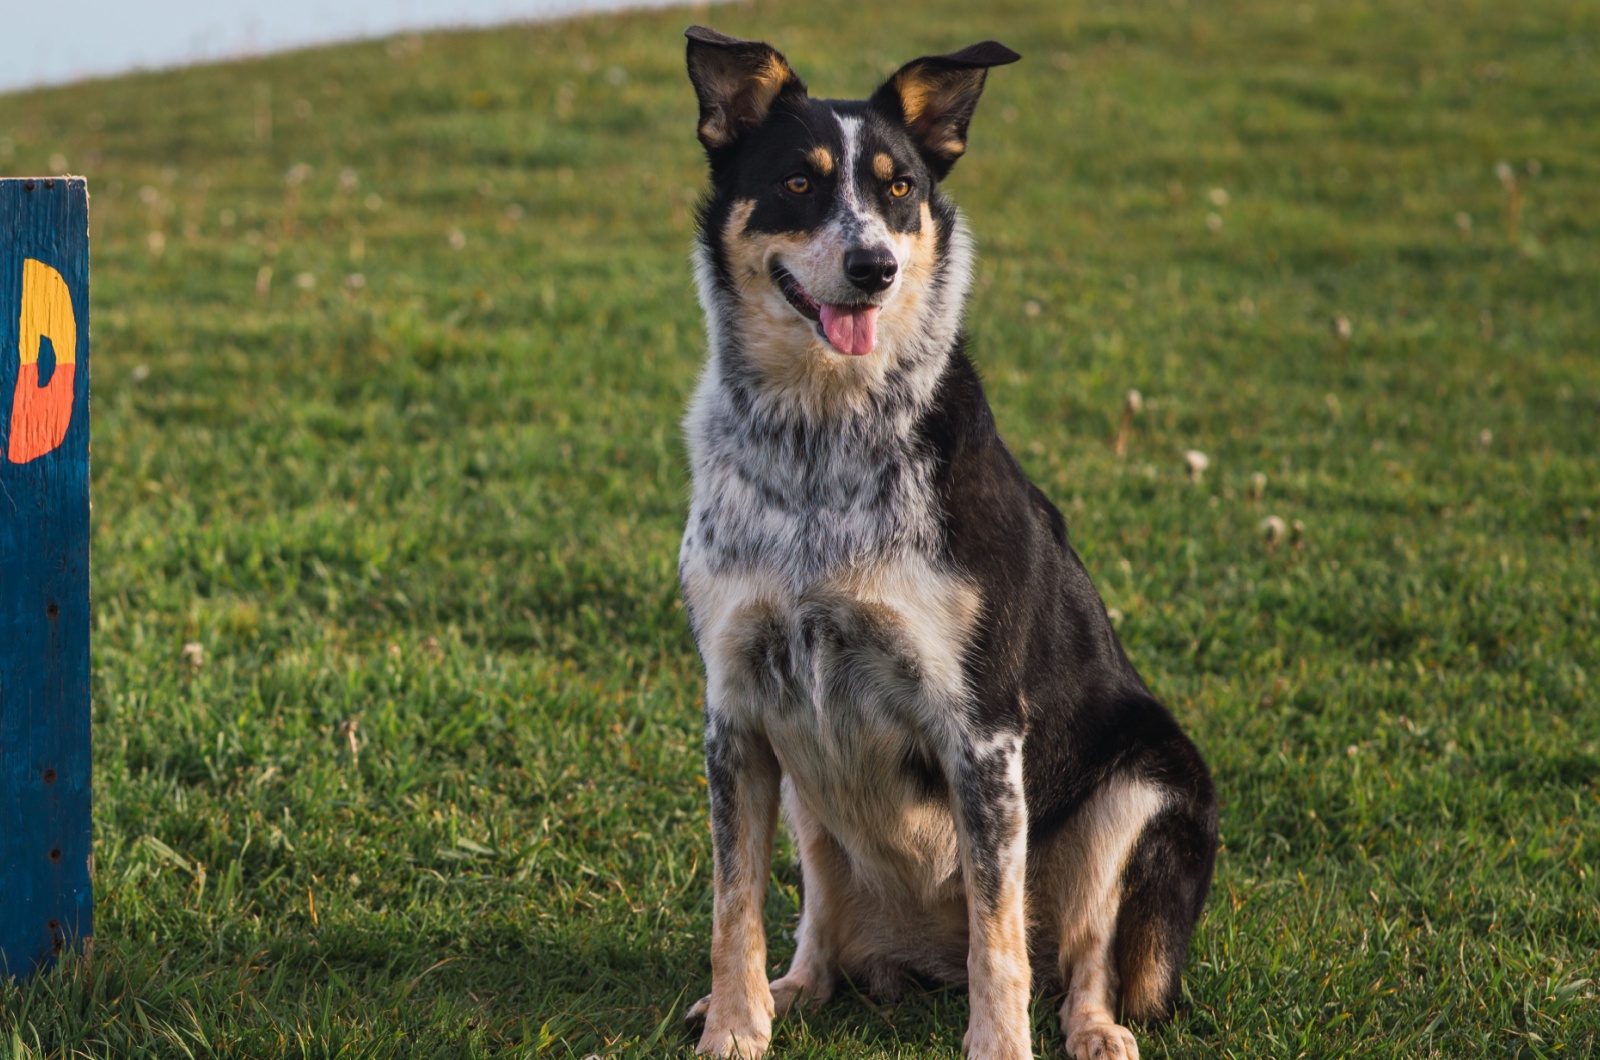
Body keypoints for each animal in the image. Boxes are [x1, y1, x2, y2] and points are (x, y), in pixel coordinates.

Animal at [672, 24, 1209, 1060]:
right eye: (797, 183)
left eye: (900, 189)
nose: (874, 267)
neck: (820, 440)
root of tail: (915, 958)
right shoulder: (739, 712)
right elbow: (734, 908)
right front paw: (734, 1028)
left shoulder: (982, 729)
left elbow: (998, 939)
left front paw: (1000, 1047)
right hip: (808, 795)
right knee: (821, 924)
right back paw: (796, 988)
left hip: (1145, 786)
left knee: (1080, 955)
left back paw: (1096, 1030)